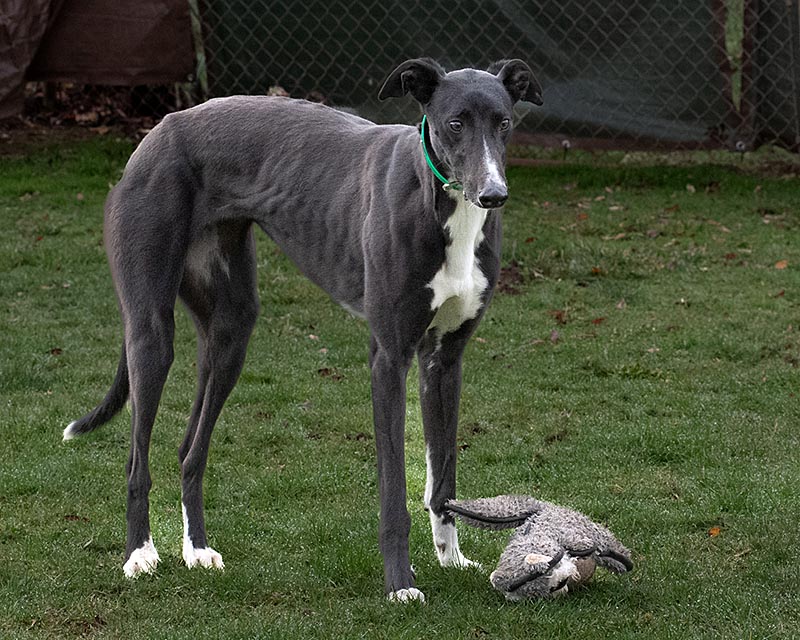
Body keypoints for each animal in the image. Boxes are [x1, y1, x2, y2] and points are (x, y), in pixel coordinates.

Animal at [64, 57, 544, 604]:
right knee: (136, 459)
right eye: (455, 123)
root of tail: (160, 129)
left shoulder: (444, 360)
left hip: (231, 334)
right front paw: (401, 584)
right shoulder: (389, 357)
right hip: (150, 331)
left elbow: (443, 476)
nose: (493, 195)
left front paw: (452, 559)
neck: (438, 203)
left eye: (504, 122)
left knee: (191, 451)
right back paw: (140, 553)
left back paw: (196, 550)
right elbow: (394, 490)